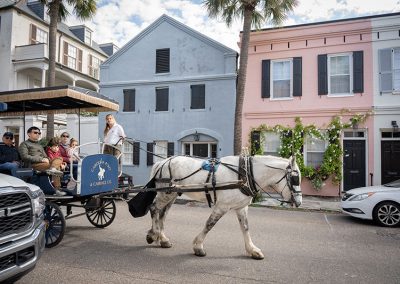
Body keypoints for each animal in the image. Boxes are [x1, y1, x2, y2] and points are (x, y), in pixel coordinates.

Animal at [145, 155, 302, 260]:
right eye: (295, 178)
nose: (299, 202)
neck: (245, 174)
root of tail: (162, 162)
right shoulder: (222, 206)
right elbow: (209, 224)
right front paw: (198, 246)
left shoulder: (241, 207)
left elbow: (245, 228)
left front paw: (252, 250)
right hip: (165, 193)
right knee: (154, 209)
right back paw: (154, 234)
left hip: (171, 195)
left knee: (162, 214)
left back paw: (162, 238)